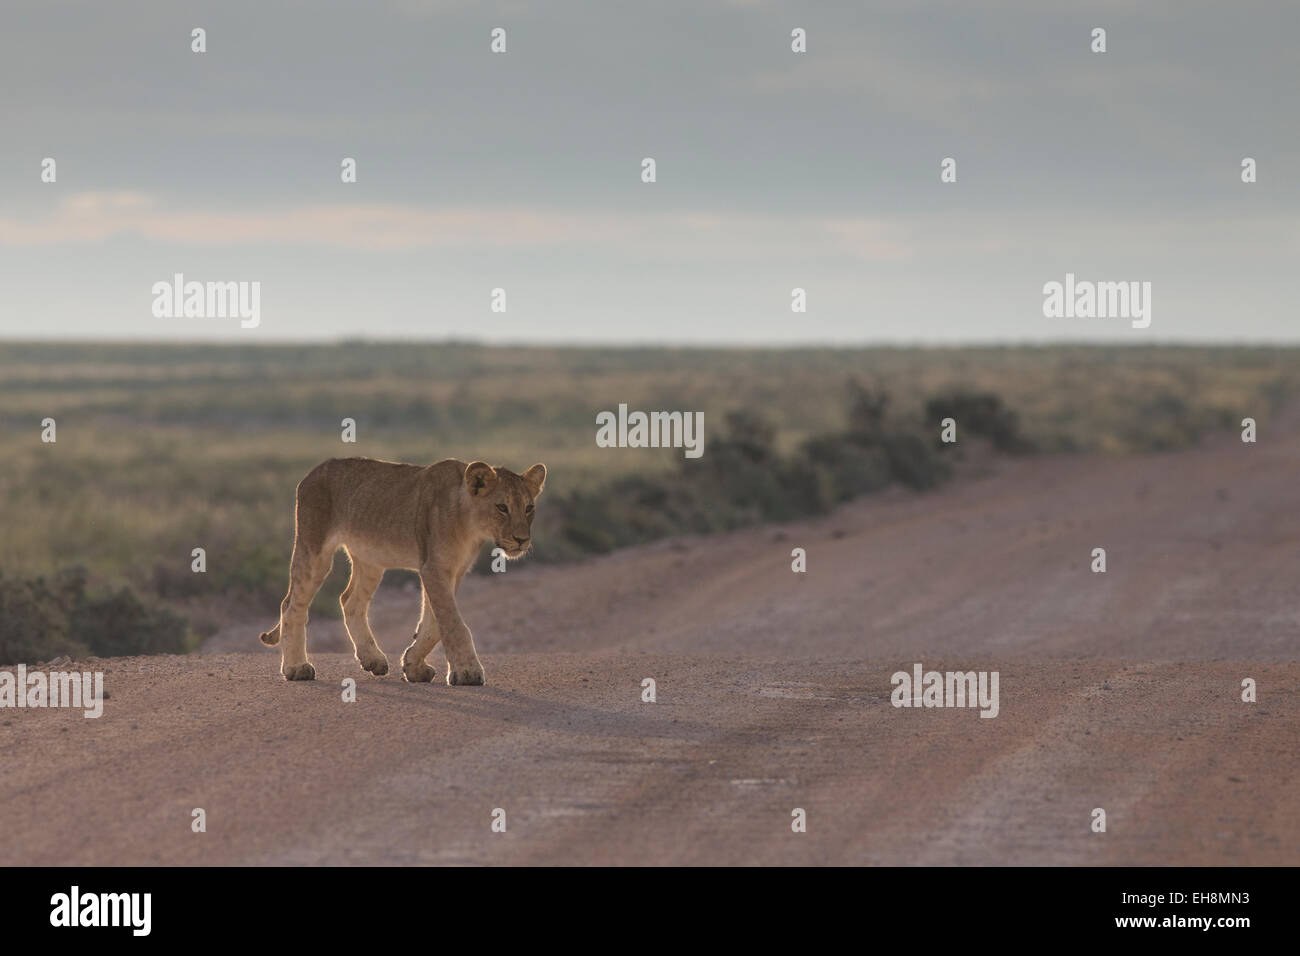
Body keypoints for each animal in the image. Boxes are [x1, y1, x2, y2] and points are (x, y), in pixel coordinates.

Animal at [261, 457, 546, 686]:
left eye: (529, 508)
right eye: (502, 507)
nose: (522, 540)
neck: (470, 524)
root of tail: (311, 473)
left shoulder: (451, 571)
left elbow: (433, 622)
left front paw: (413, 665)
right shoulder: (433, 568)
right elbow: (453, 623)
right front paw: (467, 672)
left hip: (371, 559)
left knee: (350, 601)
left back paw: (372, 659)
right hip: (314, 547)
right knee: (292, 605)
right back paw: (296, 667)